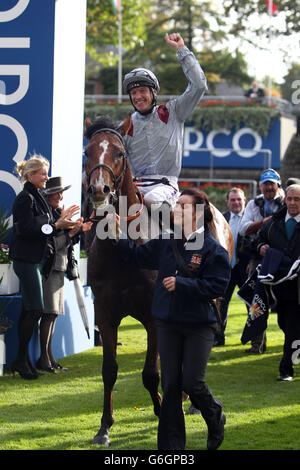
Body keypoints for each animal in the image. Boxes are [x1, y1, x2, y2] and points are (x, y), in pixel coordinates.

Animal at [82, 115, 234, 446]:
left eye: (119, 152)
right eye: (87, 151)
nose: (99, 190)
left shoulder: (154, 316)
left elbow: (152, 373)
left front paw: (162, 408)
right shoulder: (105, 313)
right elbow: (109, 370)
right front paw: (104, 428)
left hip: (213, 299)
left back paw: (191, 402)